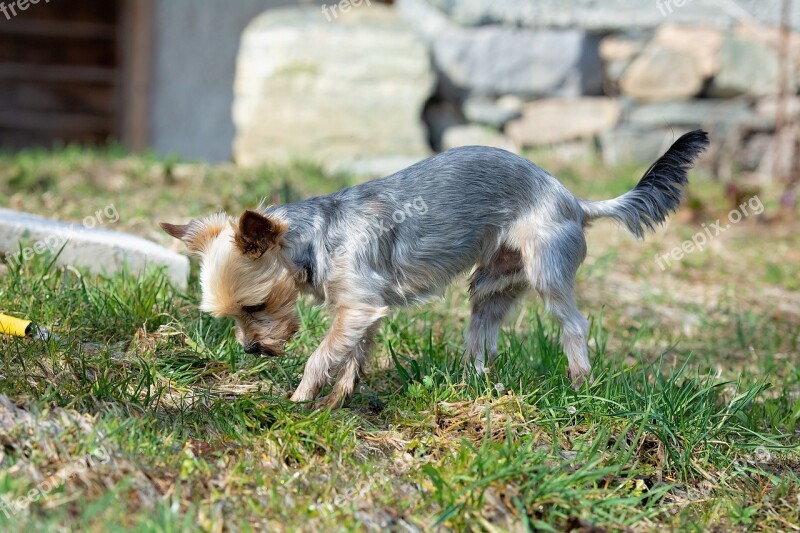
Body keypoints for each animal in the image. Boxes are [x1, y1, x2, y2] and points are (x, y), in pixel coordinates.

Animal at [161, 129, 708, 408]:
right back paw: (473, 384)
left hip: (548, 272)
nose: (251, 350)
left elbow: (322, 355)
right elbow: (354, 356)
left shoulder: (356, 306)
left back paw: (579, 384)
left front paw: (299, 399)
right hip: (491, 284)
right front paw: (341, 398)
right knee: (484, 335)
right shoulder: (365, 311)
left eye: (255, 307)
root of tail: (574, 199)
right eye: (231, 318)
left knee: (573, 324)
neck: (315, 237)